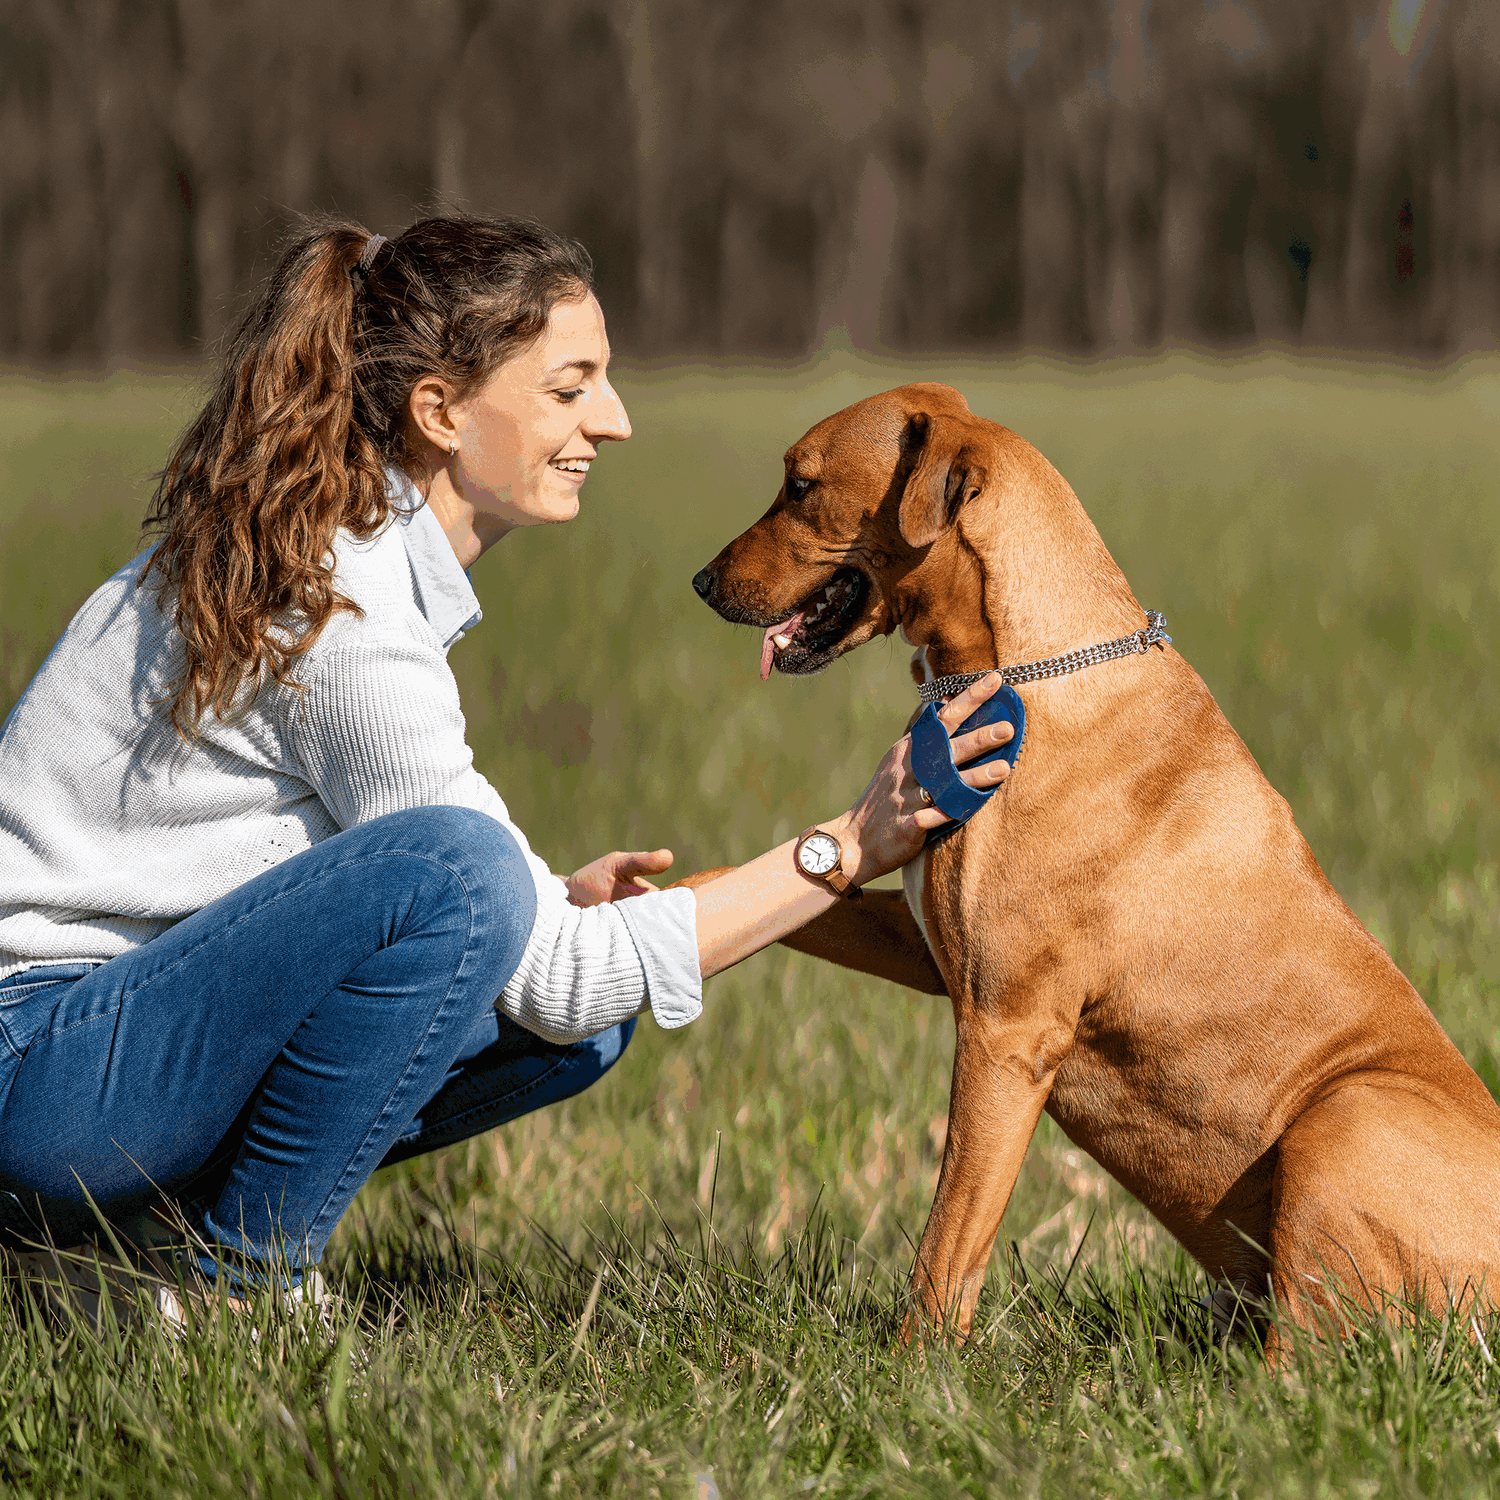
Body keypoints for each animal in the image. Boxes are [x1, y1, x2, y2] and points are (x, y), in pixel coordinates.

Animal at [693, 381, 1500, 1356]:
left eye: (801, 486)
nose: (700, 582)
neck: (1023, 668)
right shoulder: (931, 947)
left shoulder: (1007, 1030)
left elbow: (948, 1239)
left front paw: (911, 1371)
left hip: (1344, 1118)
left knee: (1302, 1361)